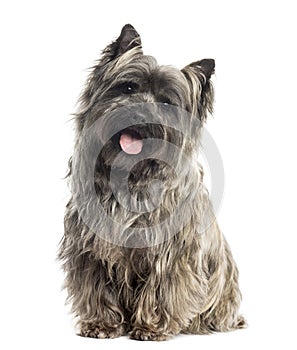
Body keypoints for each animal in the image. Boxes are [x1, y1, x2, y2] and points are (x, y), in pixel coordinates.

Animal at [58, 23, 245, 340]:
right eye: (129, 87)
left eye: (167, 102)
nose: (139, 113)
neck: (131, 175)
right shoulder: (90, 248)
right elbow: (97, 286)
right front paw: (102, 323)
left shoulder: (171, 252)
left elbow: (162, 289)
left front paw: (151, 326)